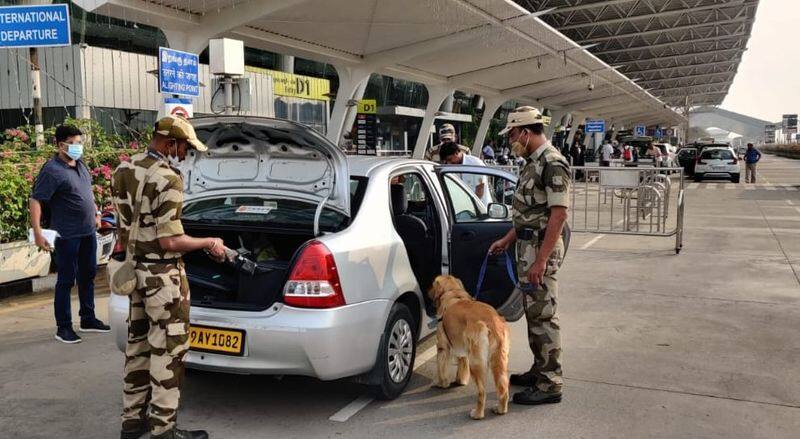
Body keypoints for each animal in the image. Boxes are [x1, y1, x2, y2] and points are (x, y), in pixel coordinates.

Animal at [428, 274, 510, 422]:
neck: (453, 293)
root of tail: (492, 321)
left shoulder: (443, 347)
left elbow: (441, 368)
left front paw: (441, 383)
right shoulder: (463, 351)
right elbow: (462, 366)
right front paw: (461, 381)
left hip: (477, 362)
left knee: (482, 392)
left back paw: (477, 414)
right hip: (499, 360)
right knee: (503, 388)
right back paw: (500, 409)